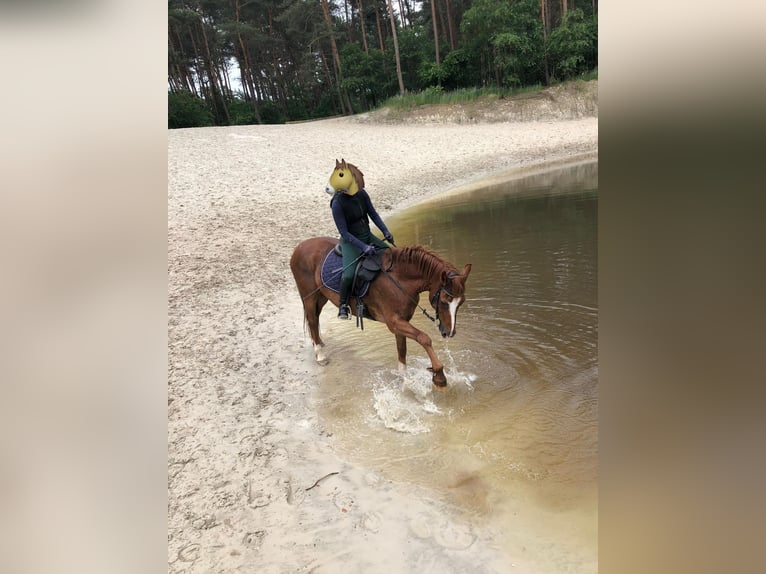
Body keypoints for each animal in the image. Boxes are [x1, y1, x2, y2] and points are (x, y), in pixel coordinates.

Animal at [290, 236, 472, 390]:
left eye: (461, 302)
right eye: (445, 301)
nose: (449, 332)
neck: (400, 279)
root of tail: (299, 247)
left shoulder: (401, 321)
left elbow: (402, 350)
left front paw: (405, 380)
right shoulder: (394, 322)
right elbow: (424, 338)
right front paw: (439, 375)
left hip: (321, 297)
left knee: (315, 320)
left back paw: (319, 345)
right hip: (310, 296)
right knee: (312, 321)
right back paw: (320, 355)